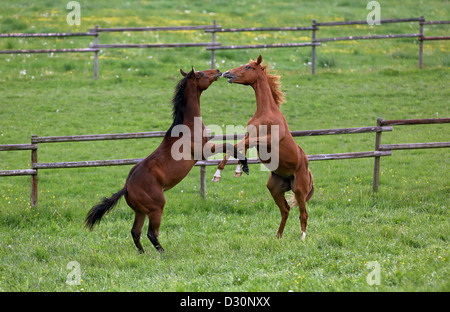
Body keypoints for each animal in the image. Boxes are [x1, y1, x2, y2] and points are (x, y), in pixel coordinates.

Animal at [85, 68, 250, 254]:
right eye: (201, 74)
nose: (218, 71)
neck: (187, 126)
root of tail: (126, 187)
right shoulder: (203, 151)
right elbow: (229, 146)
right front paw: (244, 166)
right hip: (156, 208)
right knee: (151, 233)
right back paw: (163, 253)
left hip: (140, 212)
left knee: (135, 232)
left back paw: (143, 254)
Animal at [213, 56, 314, 240]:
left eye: (248, 67)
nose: (227, 73)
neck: (266, 113)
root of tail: (308, 170)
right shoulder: (250, 135)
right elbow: (236, 146)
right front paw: (231, 171)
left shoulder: (266, 141)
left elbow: (239, 145)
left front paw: (233, 170)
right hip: (274, 188)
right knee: (285, 210)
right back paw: (278, 237)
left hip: (299, 189)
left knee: (303, 213)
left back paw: (302, 238)